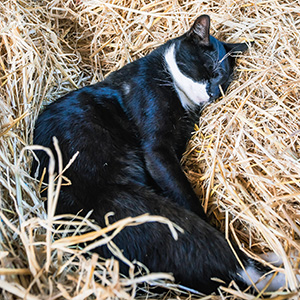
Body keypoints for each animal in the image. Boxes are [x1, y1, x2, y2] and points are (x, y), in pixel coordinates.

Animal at [31, 15, 290, 294]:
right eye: (211, 72)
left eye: (225, 81)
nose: (213, 93)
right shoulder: (156, 148)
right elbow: (182, 192)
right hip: (150, 213)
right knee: (237, 267)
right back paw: (285, 267)